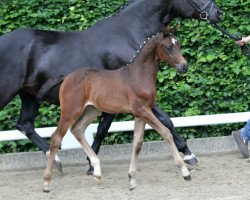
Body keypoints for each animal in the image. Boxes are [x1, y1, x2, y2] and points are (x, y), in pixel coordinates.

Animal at [43, 27, 189, 191]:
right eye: (169, 47)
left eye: (179, 45)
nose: (184, 66)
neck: (138, 75)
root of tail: (66, 77)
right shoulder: (143, 110)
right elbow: (166, 132)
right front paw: (185, 172)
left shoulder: (140, 113)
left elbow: (137, 143)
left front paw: (132, 179)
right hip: (70, 111)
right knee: (56, 137)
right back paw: (47, 182)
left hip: (92, 110)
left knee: (77, 129)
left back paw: (97, 170)